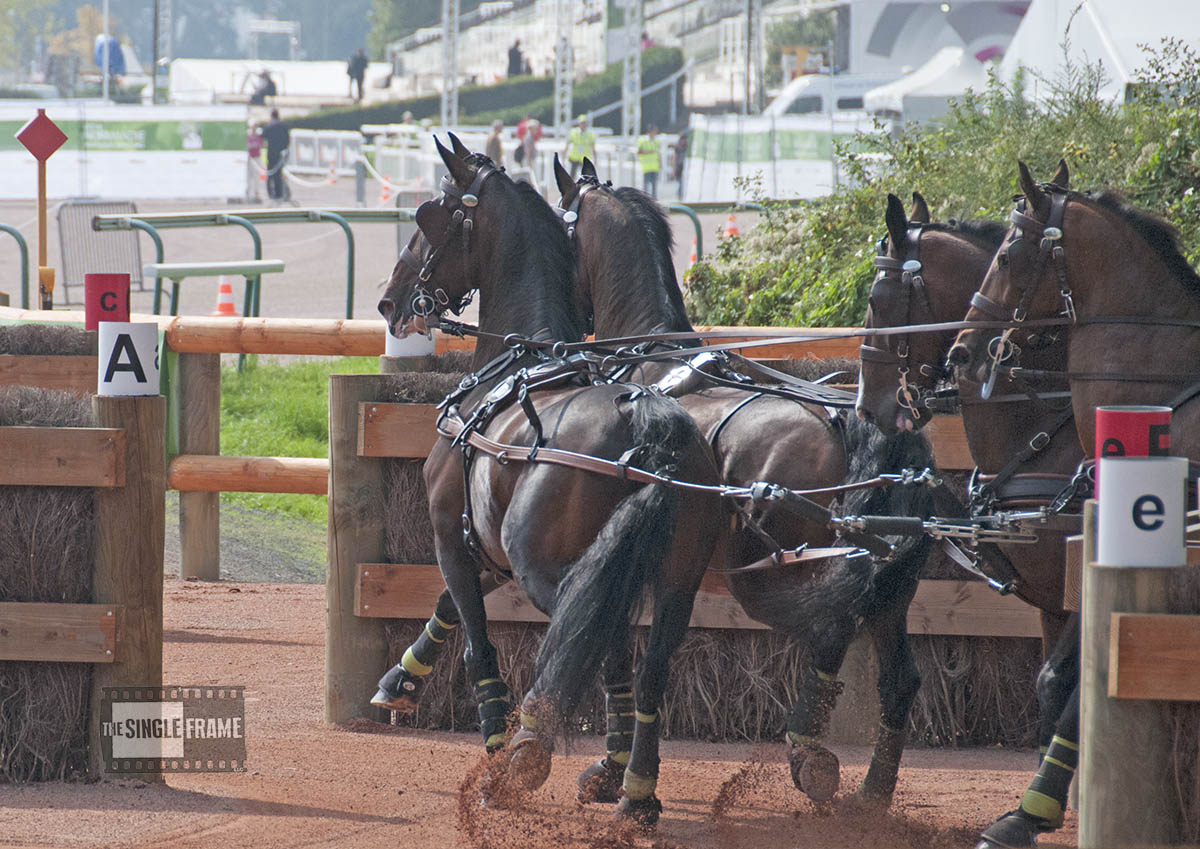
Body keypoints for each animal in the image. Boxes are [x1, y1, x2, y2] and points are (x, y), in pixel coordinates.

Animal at [377, 138, 726, 827]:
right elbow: (446, 610)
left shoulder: (451, 537)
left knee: (586, 633)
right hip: (674, 581)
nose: (390, 302)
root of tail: (646, 422)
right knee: (647, 665)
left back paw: (531, 750)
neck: (523, 361)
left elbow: (477, 644)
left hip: (551, 567)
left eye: (428, 216)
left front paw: (495, 749)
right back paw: (635, 790)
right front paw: (401, 678)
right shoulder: (487, 546)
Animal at [857, 187, 1088, 848]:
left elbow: (1061, 682)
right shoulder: (1055, 594)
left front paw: (1037, 808)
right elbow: (1054, 685)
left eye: (877, 300)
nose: (865, 406)